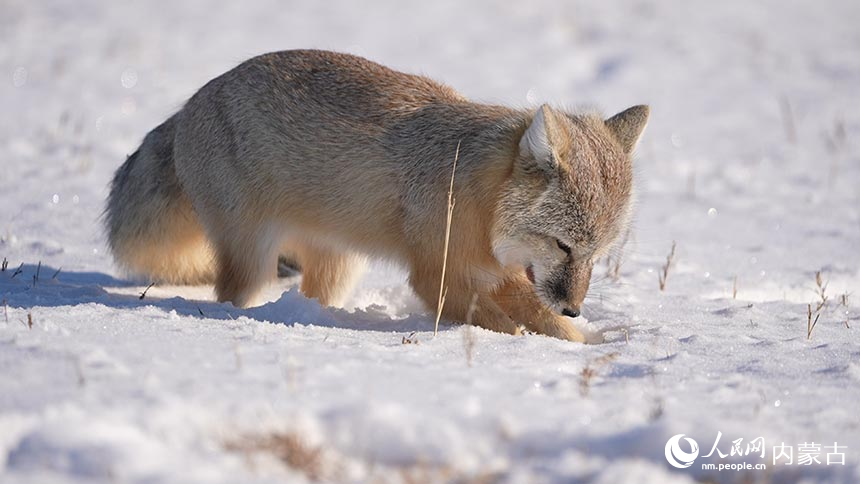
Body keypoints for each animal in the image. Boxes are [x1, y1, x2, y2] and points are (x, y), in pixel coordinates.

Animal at [106, 49, 644, 342]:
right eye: (563, 245)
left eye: (596, 256)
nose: (574, 307)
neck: (474, 196)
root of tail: (187, 107)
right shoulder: (438, 278)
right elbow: (508, 330)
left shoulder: (497, 275)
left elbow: (549, 327)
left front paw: (585, 341)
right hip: (254, 260)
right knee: (232, 295)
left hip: (338, 267)